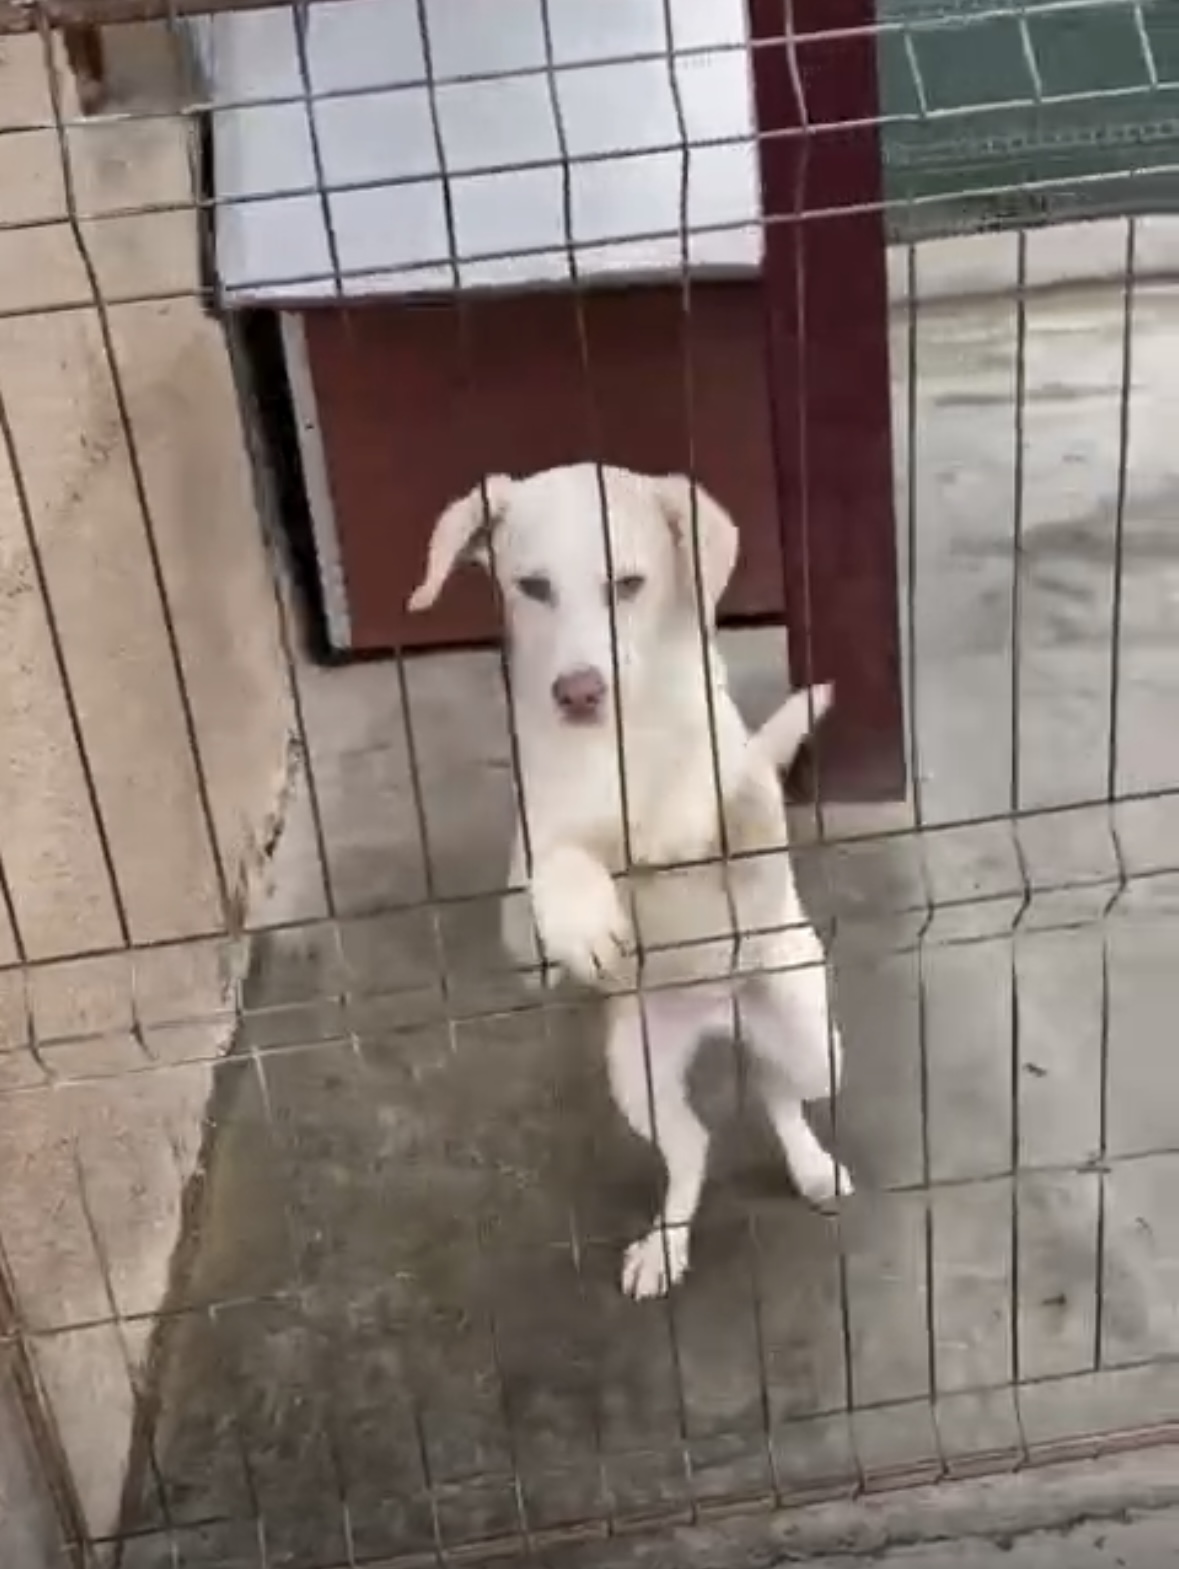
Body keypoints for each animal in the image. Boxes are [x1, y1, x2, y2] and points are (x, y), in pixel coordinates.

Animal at [408, 464, 850, 1298]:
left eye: (629, 584)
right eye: (533, 586)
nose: (578, 691)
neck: (616, 750)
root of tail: (717, 1012)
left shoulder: (744, 811)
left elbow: (718, 792)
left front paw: (672, 820)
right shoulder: (521, 916)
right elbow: (553, 870)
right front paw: (586, 916)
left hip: (812, 1035)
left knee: (782, 1090)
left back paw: (810, 1166)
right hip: (636, 1072)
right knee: (695, 1145)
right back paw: (664, 1245)